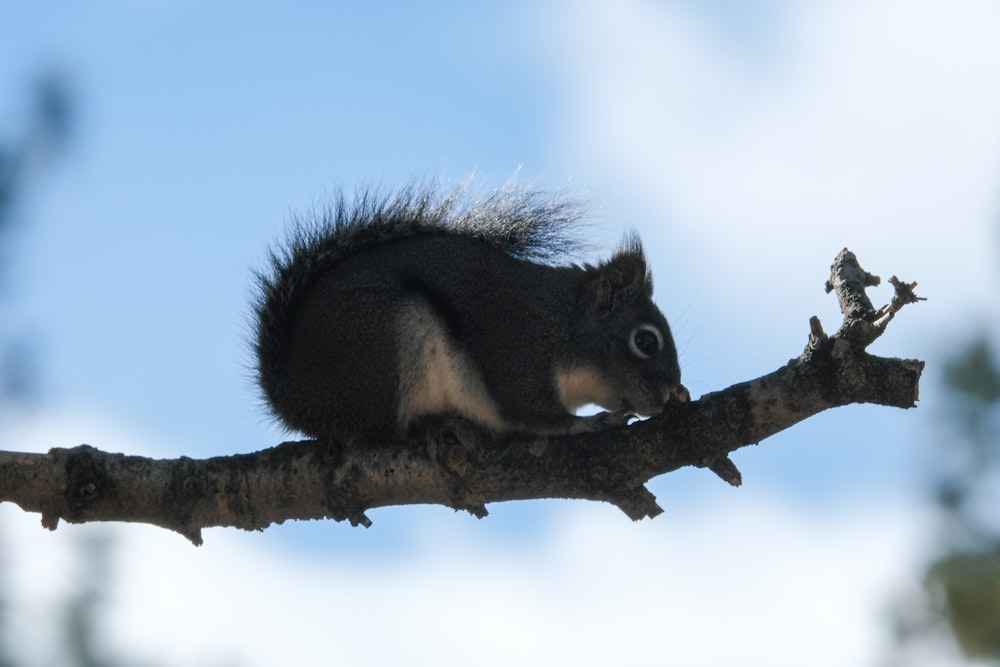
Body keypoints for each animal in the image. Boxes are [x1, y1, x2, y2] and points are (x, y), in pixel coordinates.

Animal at [254, 183, 684, 446]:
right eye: (646, 341)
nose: (669, 393)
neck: (561, 321)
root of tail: (291, 394)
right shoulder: (518, 351)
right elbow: (534, 415)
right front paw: (590, 423)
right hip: (383, 339)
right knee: (384, 431)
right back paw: (434, 426)